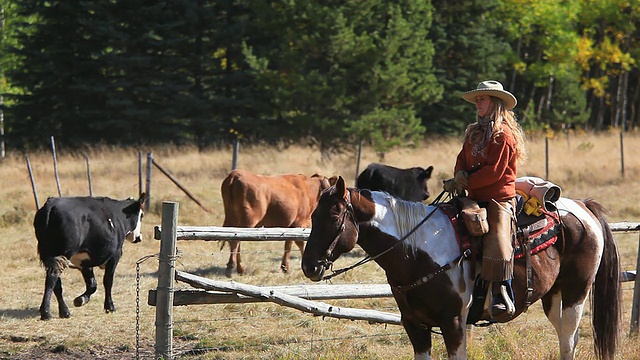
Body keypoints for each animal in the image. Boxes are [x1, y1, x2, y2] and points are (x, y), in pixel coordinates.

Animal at [300, 177, 620, 360]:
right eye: (313, 215)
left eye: (334, 215)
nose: (309, 266)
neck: (417, 250)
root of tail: (582, 206)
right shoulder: (414, 325)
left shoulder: (454, 323)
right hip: (553, 295)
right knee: (566, 334)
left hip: (577, 290)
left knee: (568, 337)